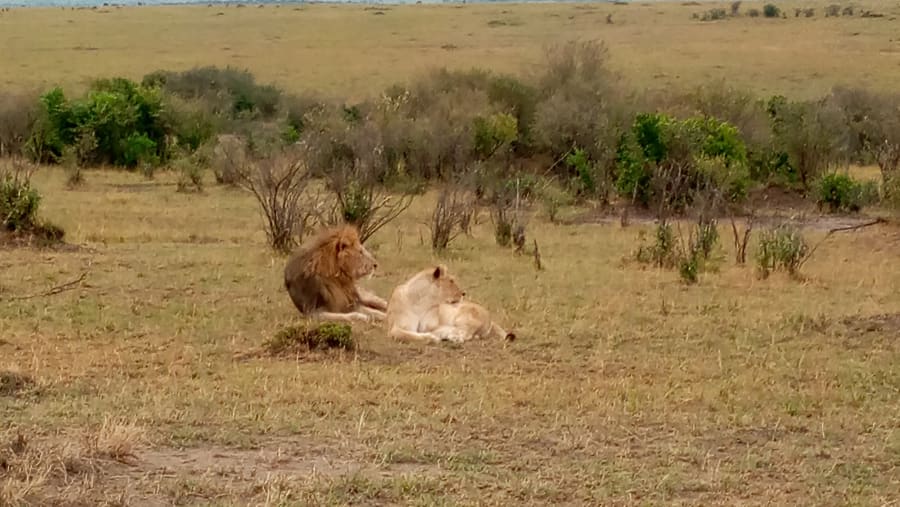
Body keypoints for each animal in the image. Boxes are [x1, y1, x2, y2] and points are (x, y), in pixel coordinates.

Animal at [385, 264, 515, 343]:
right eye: (451, 281)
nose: (463, 293)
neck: (422, 303)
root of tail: (491, 319)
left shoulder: (432, 325)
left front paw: (439, 335)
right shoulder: (395, 328)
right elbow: (406, 335)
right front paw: (431, 337)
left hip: (464, 316)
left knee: (467, 333)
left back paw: (454, 337)